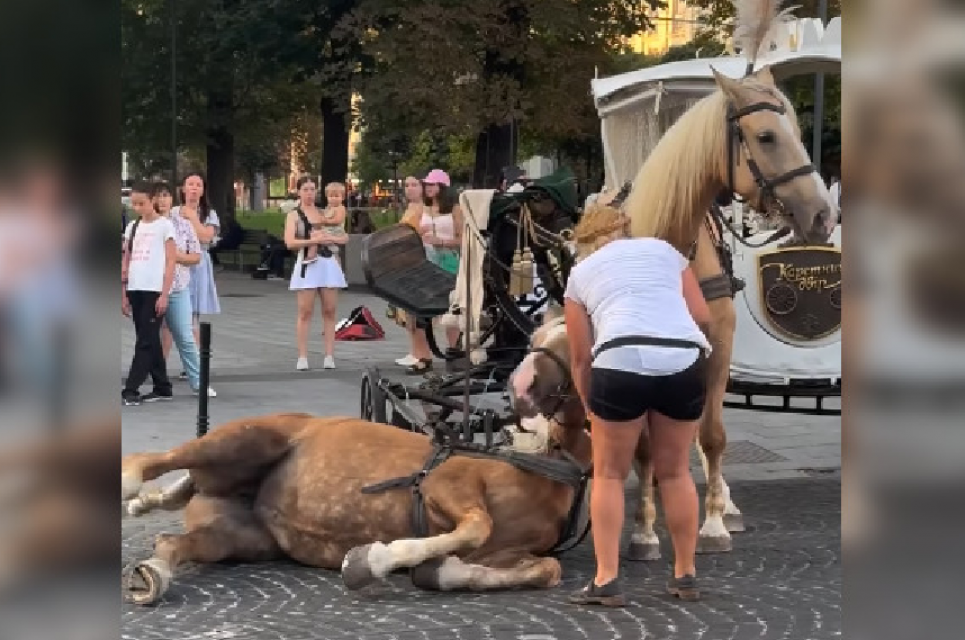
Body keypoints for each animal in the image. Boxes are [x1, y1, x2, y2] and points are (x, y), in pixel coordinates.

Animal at [120, 412, 588, 604]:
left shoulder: (506, 553)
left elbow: (547, 570)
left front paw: (440, 571)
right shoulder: (447, 484)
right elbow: (478, 525)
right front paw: (372, 561)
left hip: (239, 537)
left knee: (172, 543)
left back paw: (153, 574)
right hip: (245, 441)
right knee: (156, 459)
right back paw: (134, 489)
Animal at [512, 62, 836, 556]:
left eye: (799, 132)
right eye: (765, 136)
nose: (822, 215)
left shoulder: (717, 346)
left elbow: (712, 435)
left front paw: (714, 522)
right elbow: (644, 443)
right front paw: (644, 528)